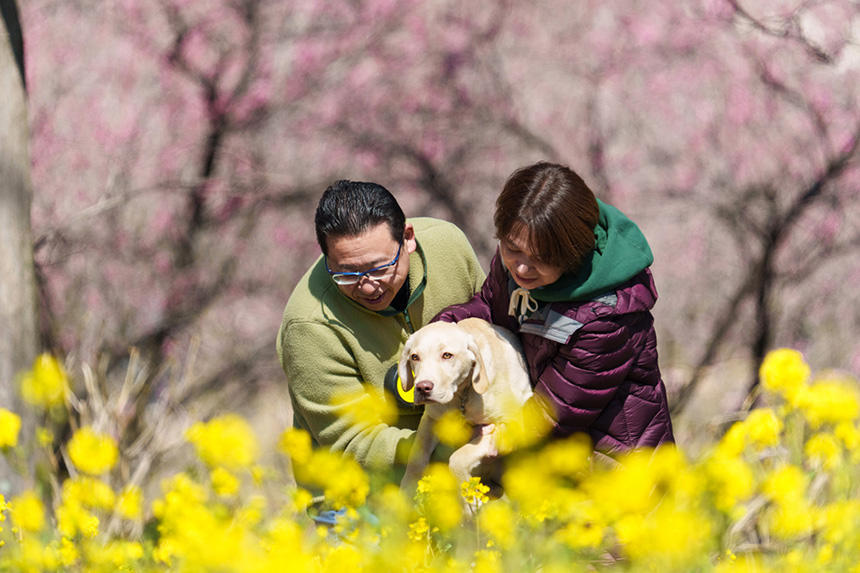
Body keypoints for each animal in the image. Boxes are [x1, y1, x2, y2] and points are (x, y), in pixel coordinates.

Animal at [402, 316, 536, 490]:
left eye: (447, 355)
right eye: (414, 357)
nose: (422, 388)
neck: (461, 396)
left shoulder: (514, 423)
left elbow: (459, 457)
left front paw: (466, 492)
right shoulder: (431, 419)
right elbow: (416, 455)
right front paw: (407, 488)